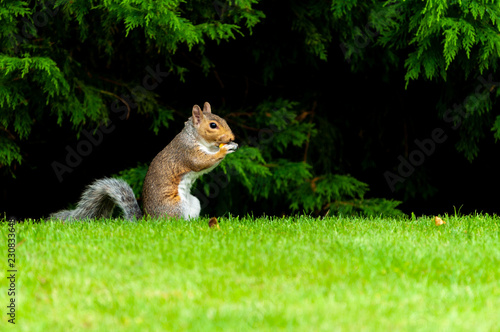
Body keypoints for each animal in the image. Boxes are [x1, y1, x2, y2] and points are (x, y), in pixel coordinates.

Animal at [51, 101, 237, 220]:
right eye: (213, 125)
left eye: (223, 119)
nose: (231, 137)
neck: (197, 138)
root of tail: (149, 220)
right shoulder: (186, 151)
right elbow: (201, 162)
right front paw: (224, 149)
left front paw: (232, 146)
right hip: (176, 207)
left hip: (194, 203)